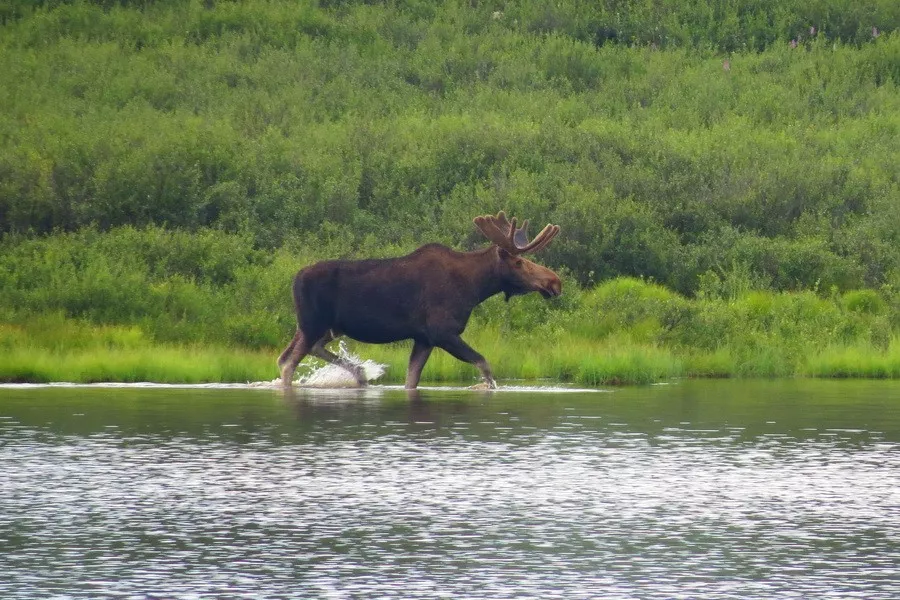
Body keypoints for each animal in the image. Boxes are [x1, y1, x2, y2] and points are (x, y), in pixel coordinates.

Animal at [280, 211, 564, 390]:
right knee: (288, 364)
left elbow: (411, 380)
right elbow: (484, 364)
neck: (474, 288)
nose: (555, 282)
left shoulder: (424, 339)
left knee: (294, 354)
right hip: (312, 324)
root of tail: (294, 279)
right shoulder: (442, 332)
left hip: (324, 327)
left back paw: (360, 373)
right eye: (519, 262)